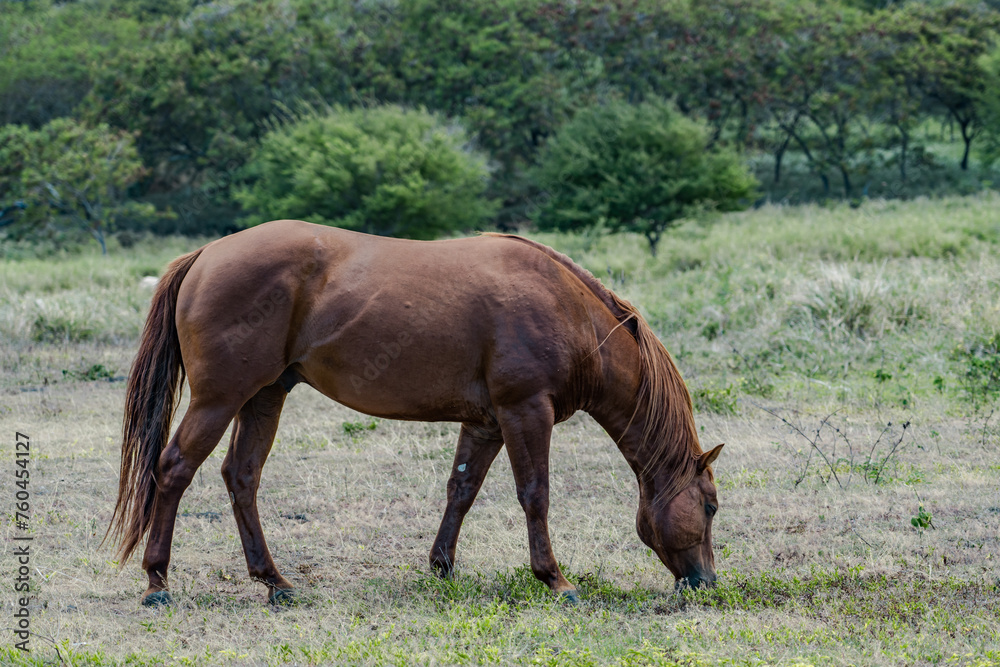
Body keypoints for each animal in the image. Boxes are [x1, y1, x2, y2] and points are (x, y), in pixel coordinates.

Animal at [105, 222, 724, 608]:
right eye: (712, 506)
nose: (706, 583)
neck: (565, 308)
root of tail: (206, 254)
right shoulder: (526, 411)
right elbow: (535, 495)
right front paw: (555, 580)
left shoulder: (486, 422)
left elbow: (462, 490)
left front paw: (442, 567)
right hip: (220, 399)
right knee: (174, 470)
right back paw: (157, 581)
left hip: (264, 397)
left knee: (242, 477)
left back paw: (275, 583)